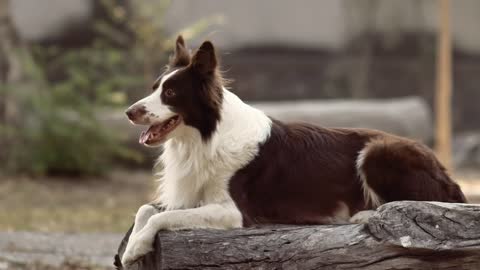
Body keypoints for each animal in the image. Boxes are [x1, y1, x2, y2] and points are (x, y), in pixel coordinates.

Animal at [122, 35, 466, 266]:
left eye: (170, 92)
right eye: (154, 88)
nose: (129, 112)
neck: (206, 136)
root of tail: (443, 169)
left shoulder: (233, 211)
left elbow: (161, 217)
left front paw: (137, 246)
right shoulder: (189, 194)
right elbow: (146, 209)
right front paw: (131, 247)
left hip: (379, 152)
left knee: (417, 202)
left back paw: (363, 213)